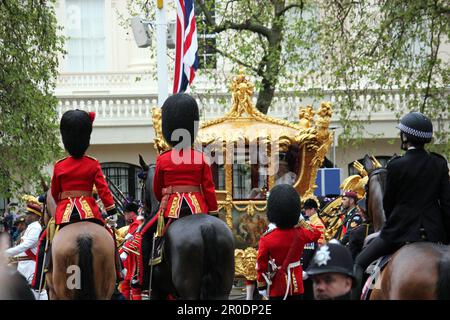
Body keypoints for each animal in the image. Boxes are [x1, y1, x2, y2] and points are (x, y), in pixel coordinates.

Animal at [137, 156, 236, 298]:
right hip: (222, 290)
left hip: (187, 287)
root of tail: (207, 227)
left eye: (141, 184)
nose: (143, 211)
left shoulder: (157, 290)